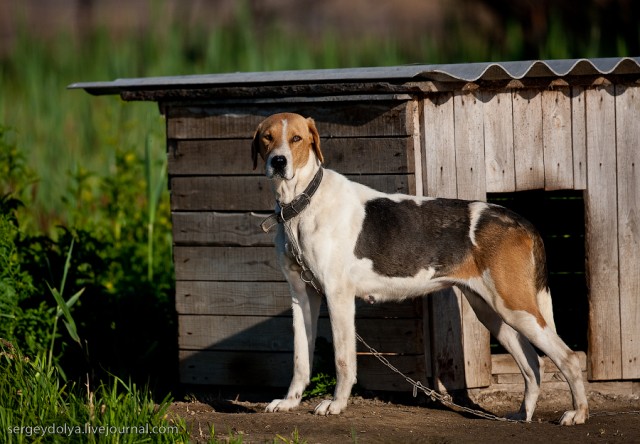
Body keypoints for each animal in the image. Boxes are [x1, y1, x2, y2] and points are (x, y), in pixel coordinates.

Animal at [251, 110, 592, 424]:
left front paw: (336, 405)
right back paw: (523, 414)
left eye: (296, 138)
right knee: (534, 364)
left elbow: (343, 360)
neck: (300, 203)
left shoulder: (338, 297)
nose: (279, 162)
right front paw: (290, 402)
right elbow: (300, 358)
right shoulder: (303, 296)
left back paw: (577, 413)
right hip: (493, 313)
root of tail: (520, 220)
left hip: (515, 307)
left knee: (568, 358)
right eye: (268, 137)